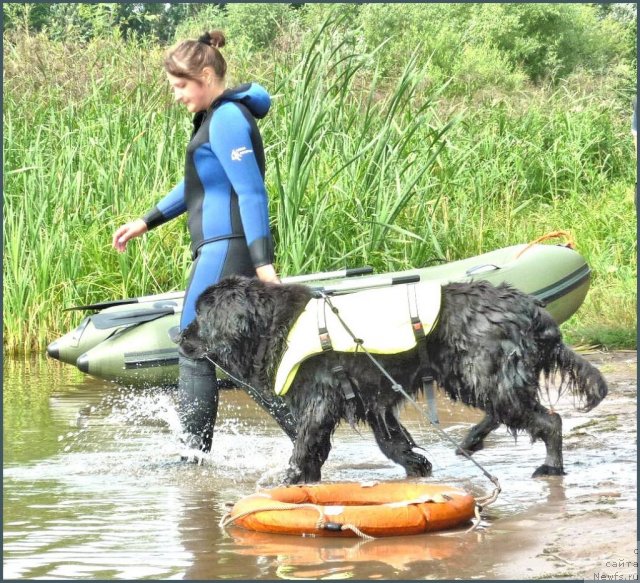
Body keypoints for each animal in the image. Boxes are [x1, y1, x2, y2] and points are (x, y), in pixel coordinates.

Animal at [178, 276, 608, 486]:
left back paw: (550, 467)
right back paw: (470, 441)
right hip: (473, 375)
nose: (178, 337)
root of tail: (528, 306)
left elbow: (306, 440)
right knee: (506, 411)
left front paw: (293, 478)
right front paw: (416, 464)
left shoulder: (320, 396)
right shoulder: (372, 397)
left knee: (547, 419)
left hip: (481, 371)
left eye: (200, 315)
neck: (271, 324)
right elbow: (390, 441)